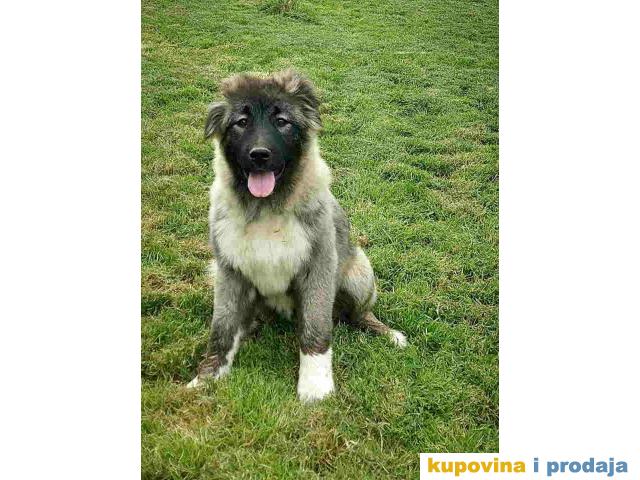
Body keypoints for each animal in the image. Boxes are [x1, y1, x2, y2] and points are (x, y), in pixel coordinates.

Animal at [187, 70, 407, 402]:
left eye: (281, 121)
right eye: (241, 122)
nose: (259, 155)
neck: (267, 208)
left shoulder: (317, 267)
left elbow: (315, 329)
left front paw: (315, 387)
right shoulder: (229, 271)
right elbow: (222, 330)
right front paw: (207, 378)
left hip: (359, 275)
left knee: (358, 315)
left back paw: (388, 333)